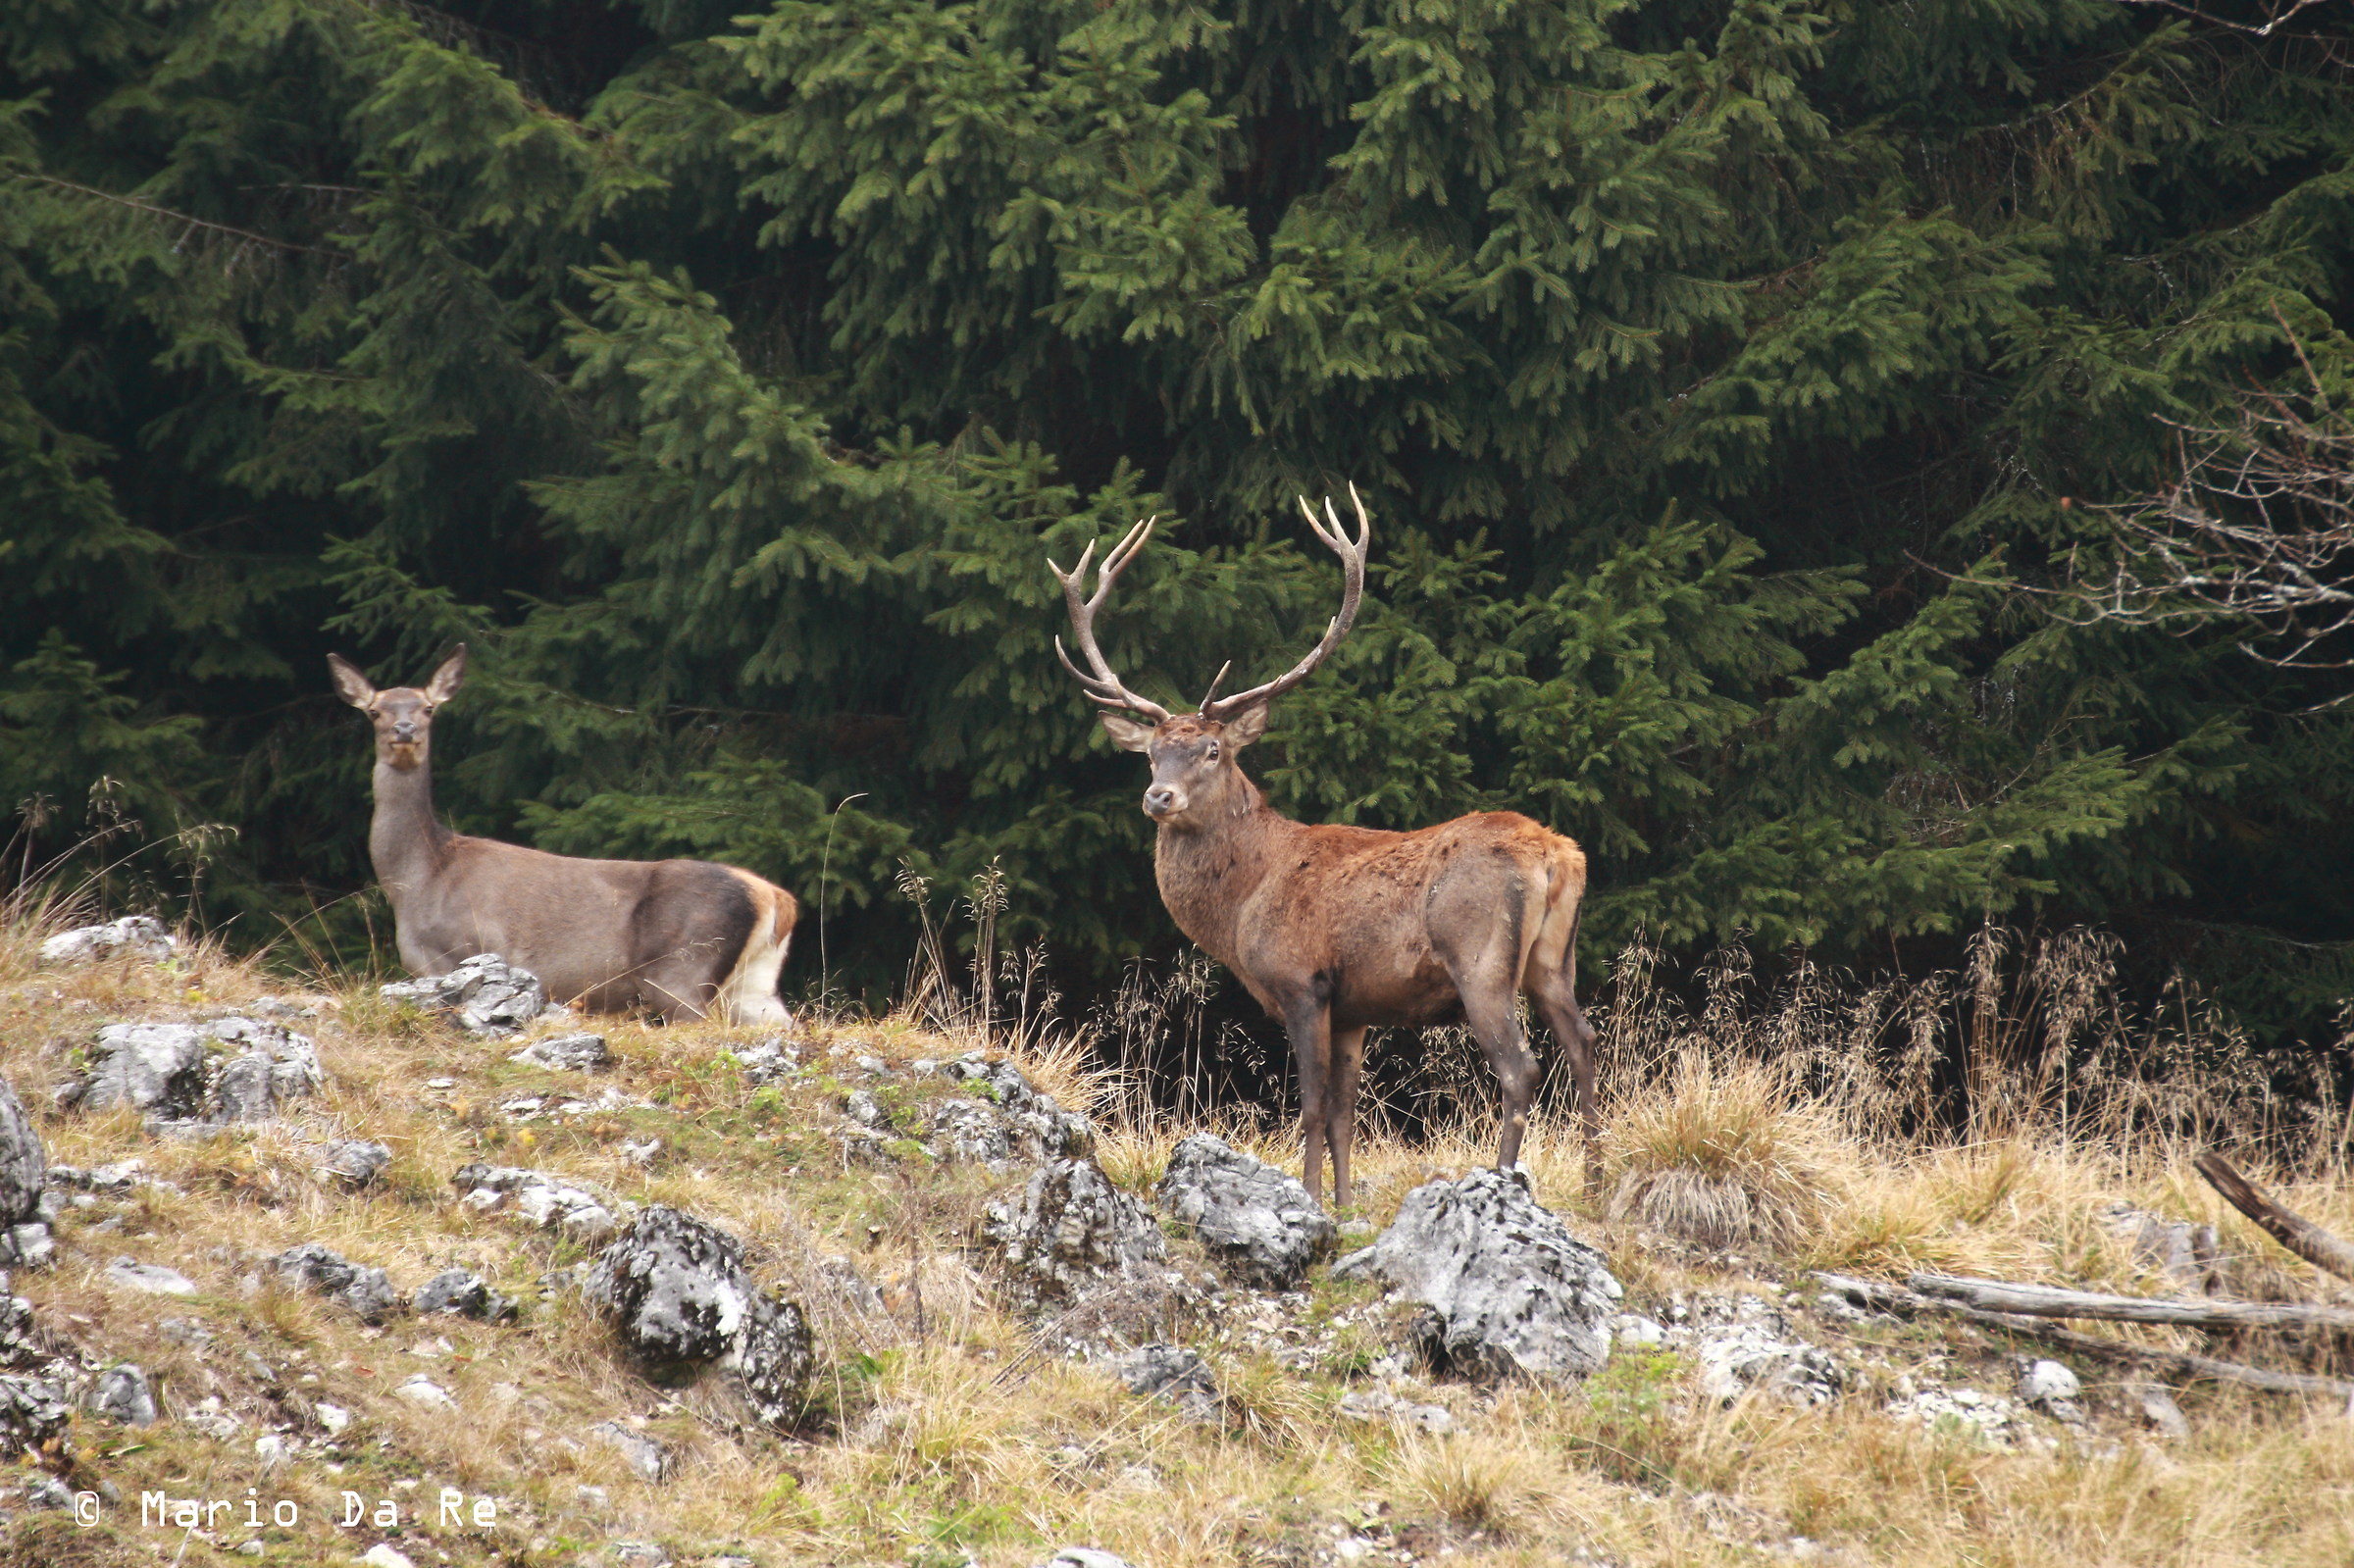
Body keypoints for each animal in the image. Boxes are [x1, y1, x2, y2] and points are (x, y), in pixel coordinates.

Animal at [328, 645, 799, 1025]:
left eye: (428, 708)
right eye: (375, 710)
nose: (404, 731)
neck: (419, 878)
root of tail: (775, 898)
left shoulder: (467, 949)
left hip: (681, 968)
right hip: (754, 982)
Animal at [1048, 489, 1601, 1208]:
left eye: (1212, 749)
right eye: (1151, 753)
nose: (1158, 797)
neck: (1245, 899)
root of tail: (1556, 855)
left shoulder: (1301, 980)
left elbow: (1310, 1106)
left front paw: (1307, 1198)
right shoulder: (1353, 1006)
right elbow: (1344, 1113)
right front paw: (1342, 1205)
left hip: (1478, 955)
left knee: (1520, 1068)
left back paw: (1503, 1181)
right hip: (1553, 960)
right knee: (1584, 1043)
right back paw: (1597, 1181)